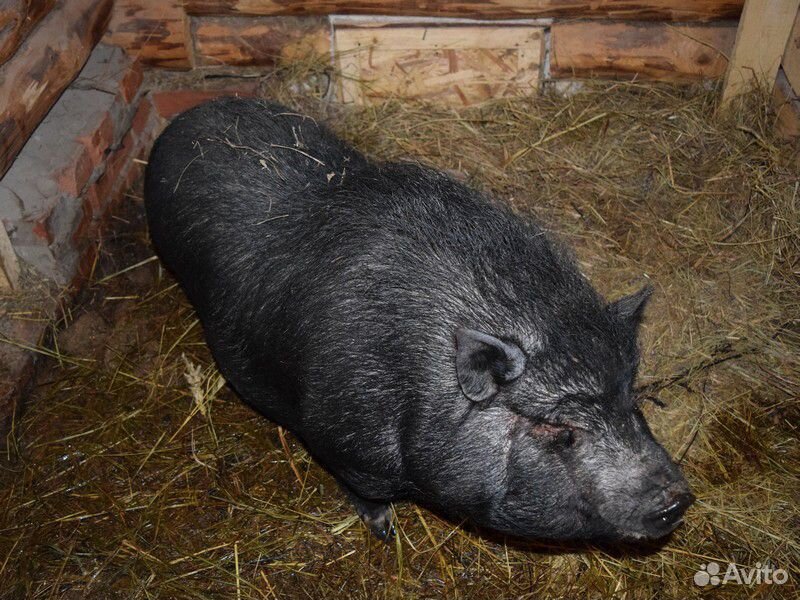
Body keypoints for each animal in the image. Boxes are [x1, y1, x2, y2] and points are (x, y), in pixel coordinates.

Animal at [145, 97, 692, 540]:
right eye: (561, 429)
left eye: (630, 399)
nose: (676, 499)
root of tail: (184, 119)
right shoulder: (340, 440)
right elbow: (365, 491)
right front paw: (384, 529)